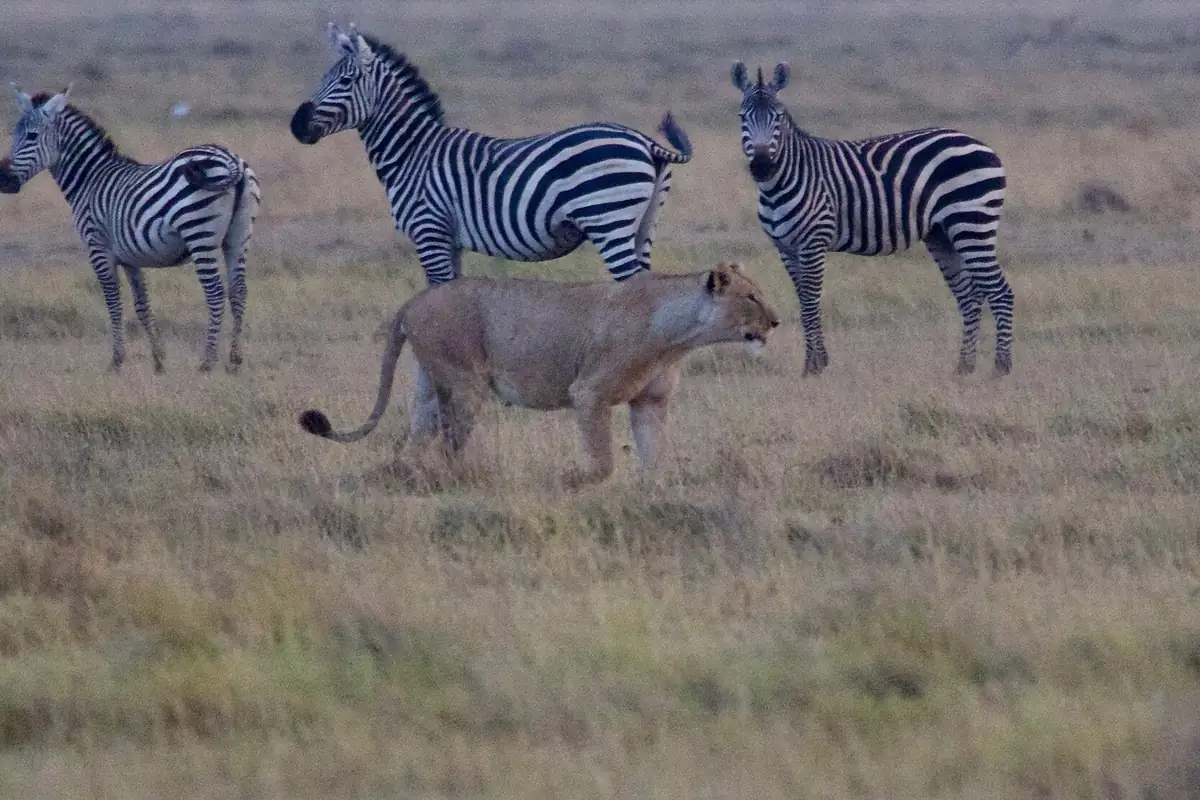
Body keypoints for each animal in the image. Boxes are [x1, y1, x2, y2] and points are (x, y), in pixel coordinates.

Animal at [0, 84, 261, 374]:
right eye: (13, 134)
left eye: (32, 136)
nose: (3, 180)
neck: (90, 179)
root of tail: (231, 161)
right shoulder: (130, 257)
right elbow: (142, 305)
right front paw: (158, 360)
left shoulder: (98, 247)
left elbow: (113, 302)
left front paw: (117, 360)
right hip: (238, 237)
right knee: (238, 292)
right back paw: (235, 360)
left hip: (199, 234)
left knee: (215, 293)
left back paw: (207, 361)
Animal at [289, 23, 693, 286]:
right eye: (323, 77)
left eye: (346, 81)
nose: (296, 125)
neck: (412, 152)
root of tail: (643, 140)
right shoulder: (449, 240)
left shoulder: (429, 230)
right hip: (643, 224)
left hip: (608, 218)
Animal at [298, 261, 780, 486]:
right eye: (751, 297)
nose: (776, 322)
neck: (678, 335)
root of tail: (415, 300)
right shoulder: (590, 392)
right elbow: (602, 463)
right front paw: (568, 479)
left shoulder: (650, 403)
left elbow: (654, 457)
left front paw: (651, 494)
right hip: (466, 384)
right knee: (450, 445)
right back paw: (459, 481)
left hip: (429, 388)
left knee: (414, 441)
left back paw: (408, 477)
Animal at [731, 61, 1013, 377]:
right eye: (743, 117)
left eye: (778, 118)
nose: (762, 166)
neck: (780, 184)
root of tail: (982, 144)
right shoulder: (786, 248)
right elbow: (803, 302)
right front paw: (811, 364)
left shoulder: (813, 242)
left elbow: (811, 304)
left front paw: (816, 366)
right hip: (943, 234)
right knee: (970, 297)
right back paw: (964, 368)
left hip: (973, 223)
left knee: (1000, 292)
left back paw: (1001, 368)